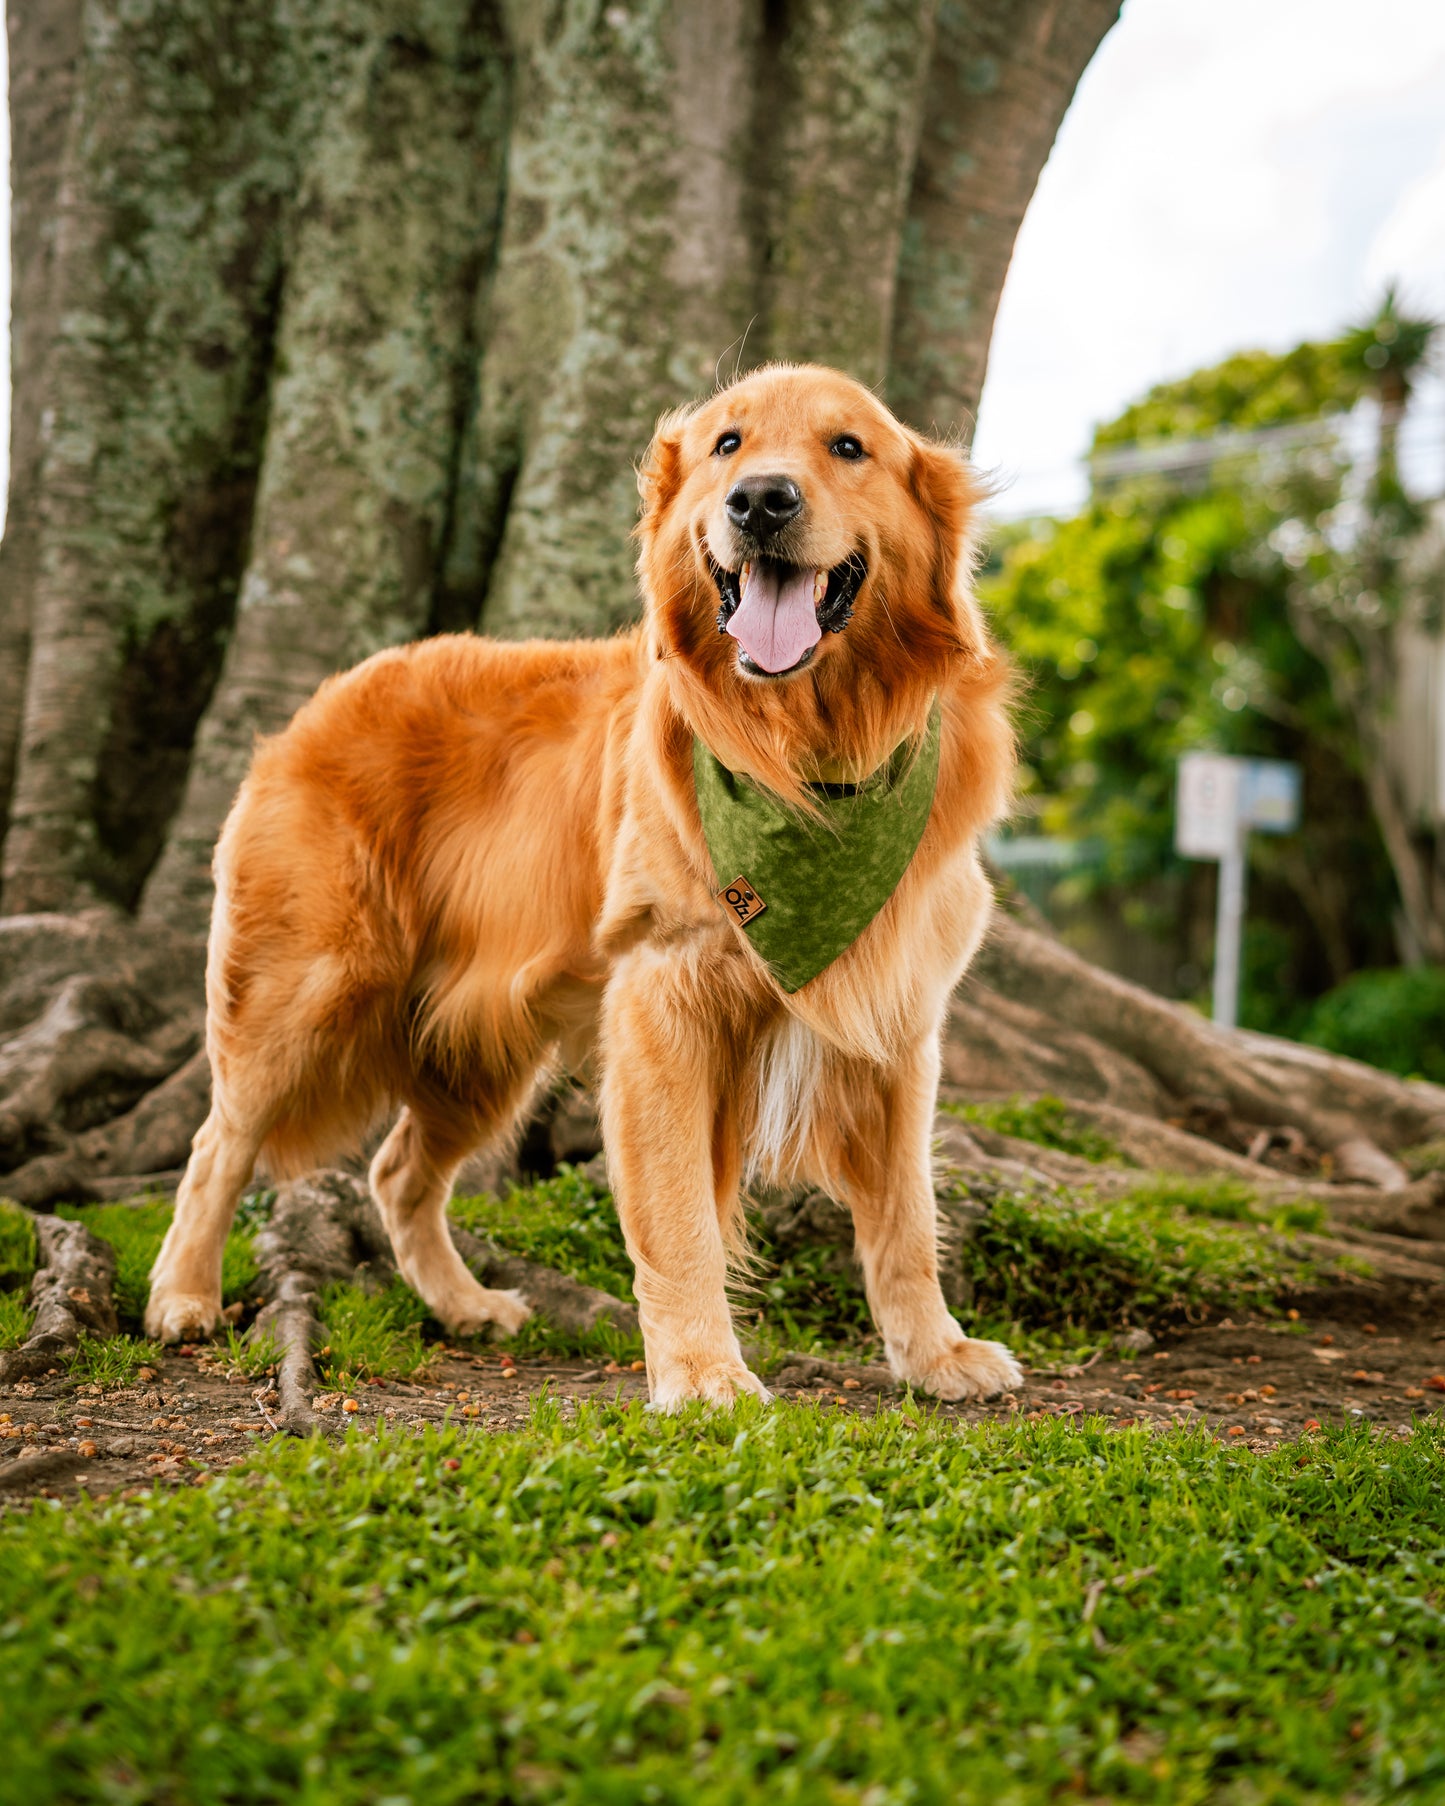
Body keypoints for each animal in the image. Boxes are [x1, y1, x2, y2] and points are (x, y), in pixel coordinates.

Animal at [146, 359, 1018, 1401]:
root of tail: (316, 701)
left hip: (478, 1049)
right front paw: (701, 1375)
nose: (759, 500)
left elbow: (905, 1221)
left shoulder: (899, 1019)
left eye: (849, 446)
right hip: (306, 989)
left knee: (396, 1173)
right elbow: (678, 1218)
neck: (806, 757)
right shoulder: (662, 996)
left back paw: (462, 1304)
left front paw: (933, 1354)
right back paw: (181, 1297)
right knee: (217, 1144)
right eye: (727, 443)